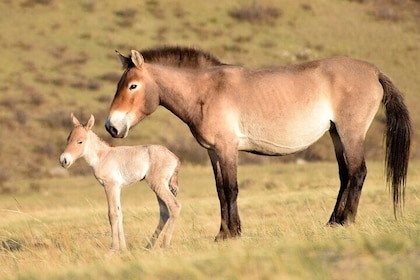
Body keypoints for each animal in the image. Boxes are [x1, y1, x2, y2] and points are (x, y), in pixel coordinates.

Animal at [60, 112, 180, 253]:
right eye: (68, 139)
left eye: (80, 141)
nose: (64, 160)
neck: (102, 156)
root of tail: (175, 158)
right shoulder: (117, 188)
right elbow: (119, 213)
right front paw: (123, 248)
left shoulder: (110, 186)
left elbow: (112, 214)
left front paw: (113, 248)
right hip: (160, 186)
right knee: (164, 212)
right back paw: (148, 247)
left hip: (158, 184)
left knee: (174, 206)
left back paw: (164, 246)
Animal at [104, 47, 410, 240]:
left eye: (132, 86)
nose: (111, 126)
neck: (205, 91)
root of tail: (373, 71)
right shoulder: (214, 153)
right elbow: (220, 191)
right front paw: (223, 232)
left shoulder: (227, 149)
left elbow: (231, 189)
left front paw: (231, 234)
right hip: (336, 134)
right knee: (346, 175)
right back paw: (333, 222)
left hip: (350, 133)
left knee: (358, 173)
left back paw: (347, 221)